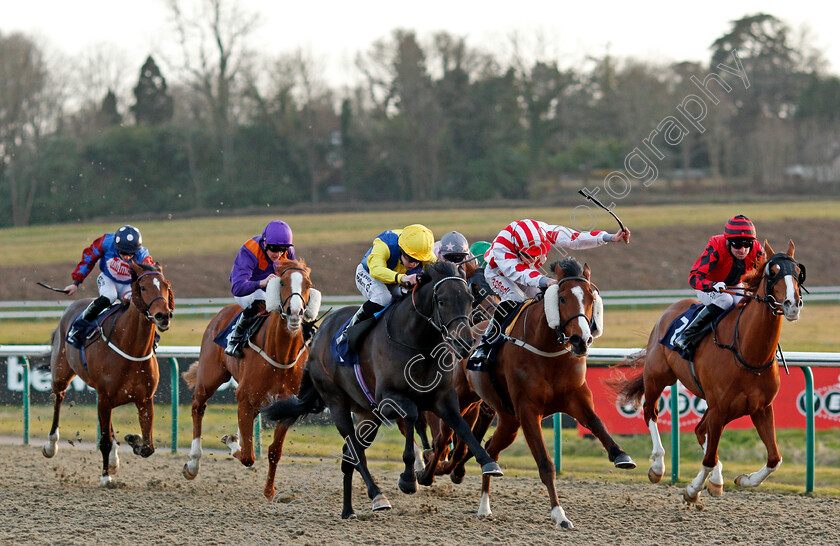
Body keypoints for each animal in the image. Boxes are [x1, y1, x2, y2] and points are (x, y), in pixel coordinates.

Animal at [43, 262, 175, 482]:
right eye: (144, 287)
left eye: (166, 286)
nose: (163, 316)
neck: (132, 349)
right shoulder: (105, 397)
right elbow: (104, 440)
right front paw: (106, 477)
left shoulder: (144, 399)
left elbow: (148, 447)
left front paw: (133, 439)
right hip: (62, 373)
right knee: (58, 398)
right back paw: (51, 445)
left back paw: (114, 459)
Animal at [180, 258, 318, 500]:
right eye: (282, 282)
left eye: (308, 284)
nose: (295, 312)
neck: (280, 356)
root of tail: (221, 313)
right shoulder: (244, 398)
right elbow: (247, 455)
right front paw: (232, 441)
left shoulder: (287, 408)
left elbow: (274, 451)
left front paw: (270, 491)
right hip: (210, 376)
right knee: (198, 407)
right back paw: (194, 464)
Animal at [426, 258, 636, 528]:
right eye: (562, 299)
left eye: (591, 297)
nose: (580, 340)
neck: (548, 350)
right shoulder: (528, 411)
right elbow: (545, 464)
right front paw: (559, 514)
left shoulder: (576, 399)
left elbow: (598, 424)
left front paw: (621, 455)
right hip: (464, 398)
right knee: (443, 439)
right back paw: (426, 474)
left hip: (508, 419)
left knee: (490, 447)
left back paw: (484, 503)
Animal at [612, 241, 804, 502]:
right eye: (772, 272)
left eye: (798, 272)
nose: (792, 304)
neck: (747, 352)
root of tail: (670, 309)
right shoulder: (720, 408)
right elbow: (709, 458)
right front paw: (693, 490)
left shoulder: (760, 408)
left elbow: (774, 458)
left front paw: (743, 479)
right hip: (657, 377)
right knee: (650, 412)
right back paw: (658, 466)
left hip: (723, 408)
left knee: (699, 429)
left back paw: (716, 480)